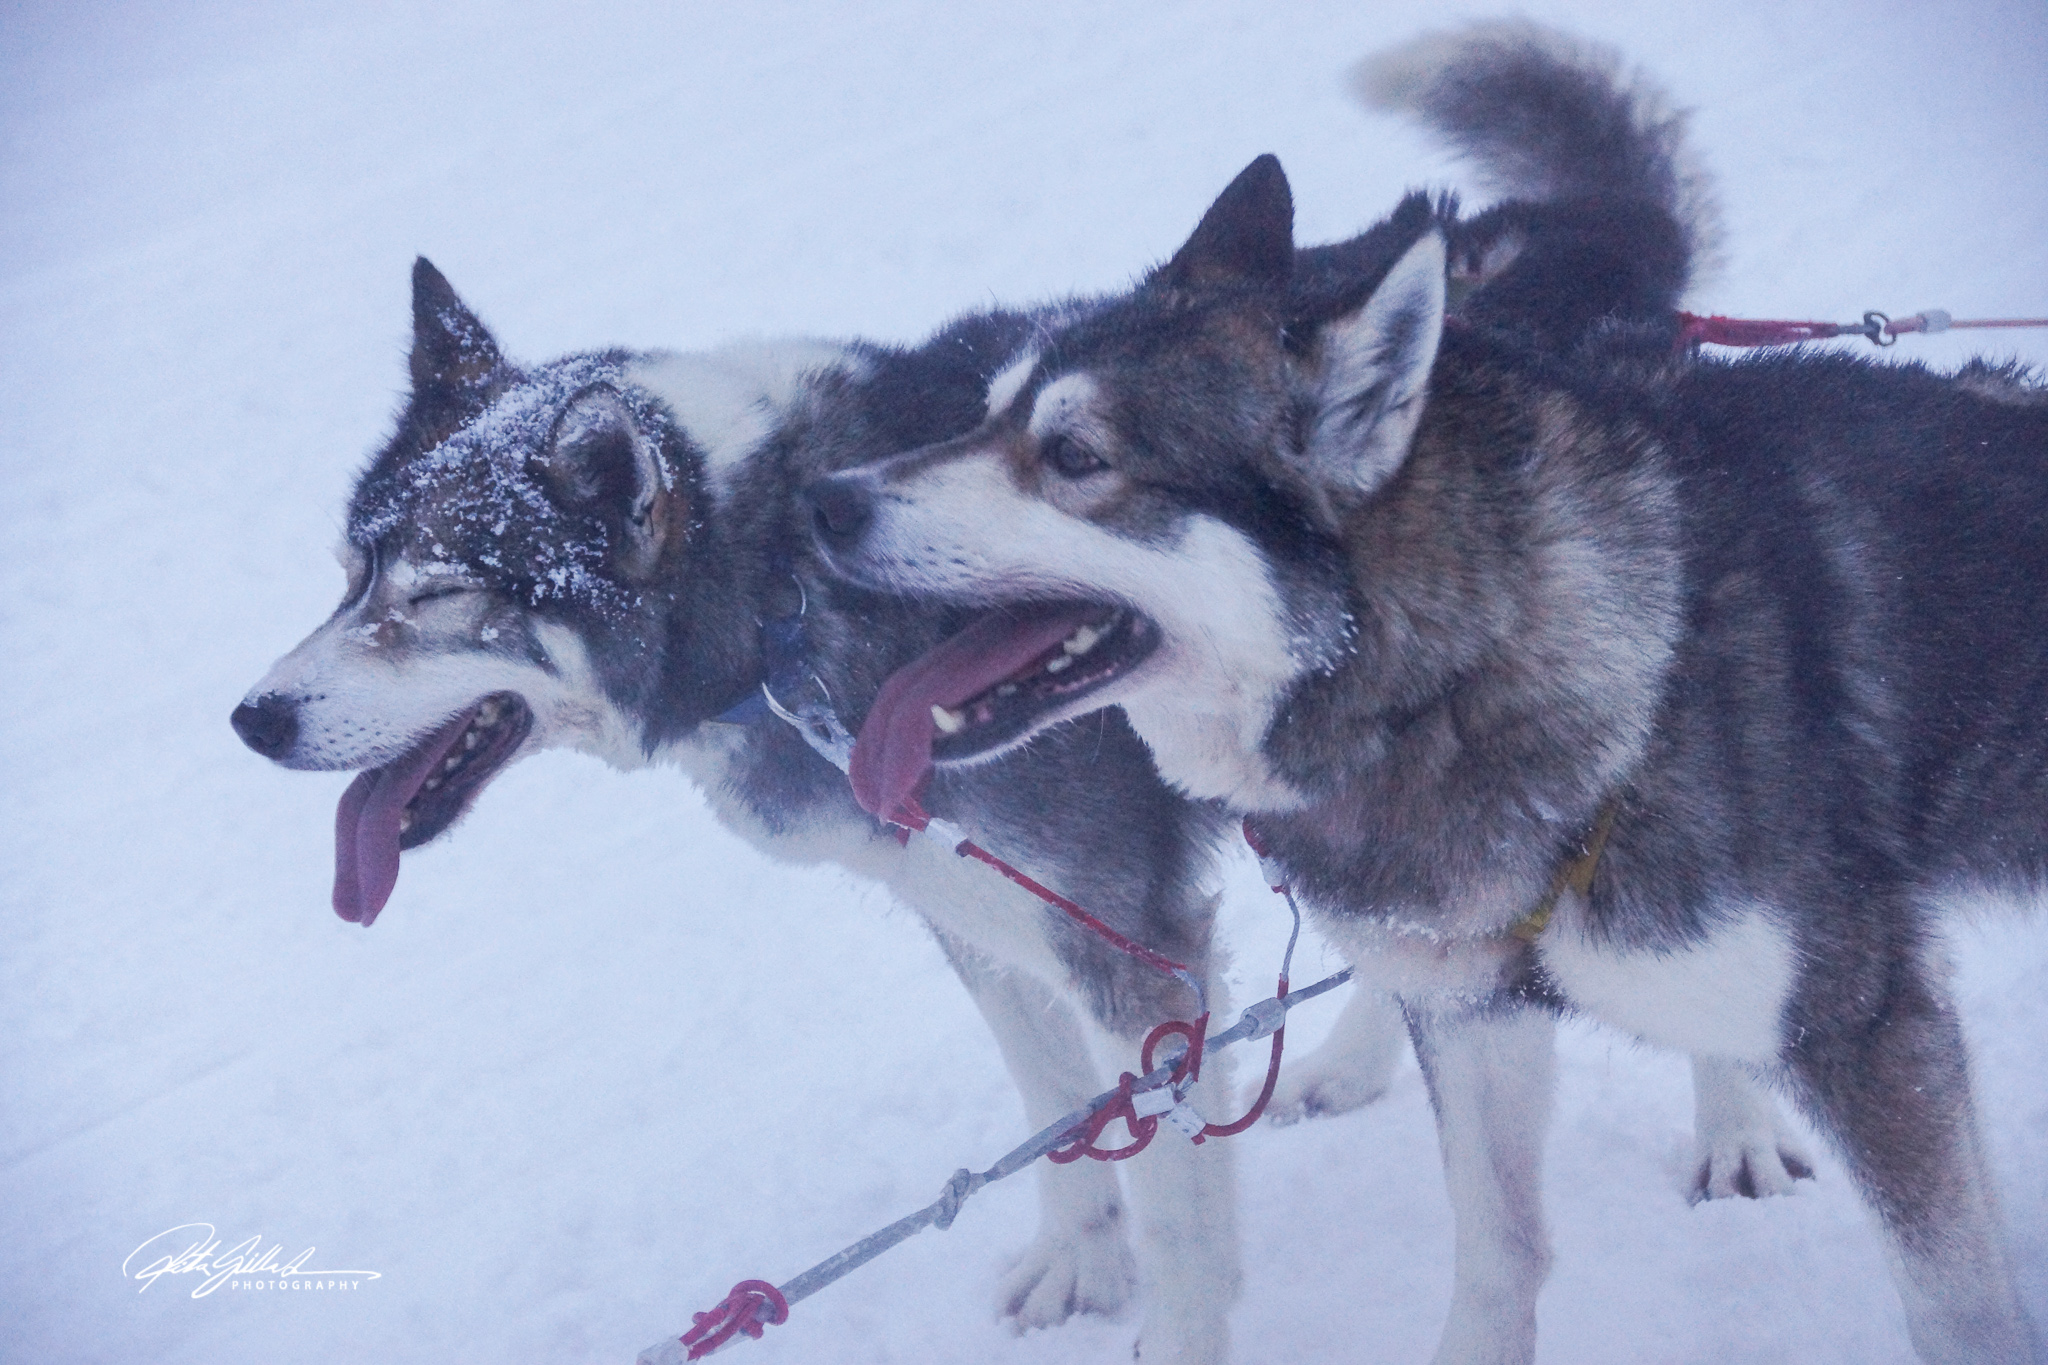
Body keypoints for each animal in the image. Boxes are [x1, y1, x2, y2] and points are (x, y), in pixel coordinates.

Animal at [233, 24, 1810, 1362]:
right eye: (347, 571)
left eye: (438, 597)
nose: (253, 719)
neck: (785, 588)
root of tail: (1584, 236)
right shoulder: (973, 912)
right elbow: (1058, 1111)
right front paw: (1081, 1257)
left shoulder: (1137, 947)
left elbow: (1182, 1219)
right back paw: (1358, 1056)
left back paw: (1731, 1120)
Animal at [805, 23, 2047, 1365]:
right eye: (985, 415)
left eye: (1075, 456)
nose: (820, 502)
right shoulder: (1474, 1015)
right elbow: (1495, 1256)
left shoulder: (1871, 1037)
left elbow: (1959, 1308)